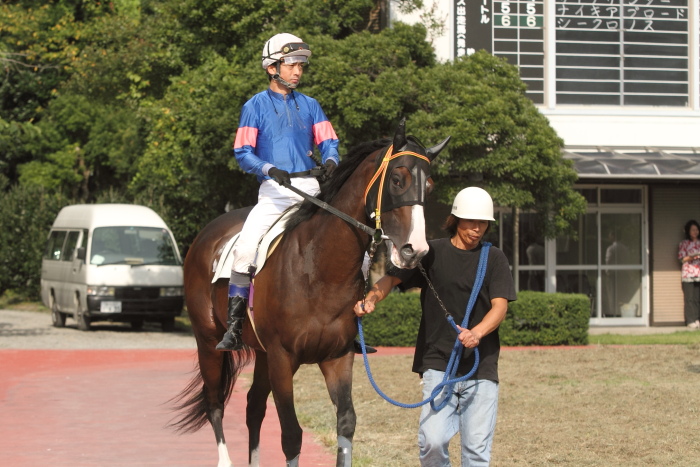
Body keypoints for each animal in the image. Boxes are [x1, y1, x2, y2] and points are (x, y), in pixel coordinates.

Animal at [172, 121, 452, 467]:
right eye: (398, 180)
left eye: (431, 185)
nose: (417, 250)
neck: (318, 269)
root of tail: (206, 235)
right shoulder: (282, 358)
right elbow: (291, 435)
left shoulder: (337, 356)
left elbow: (346, 423)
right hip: (209, 341)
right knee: (215, 405)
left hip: (261, 354)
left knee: (253, 406)